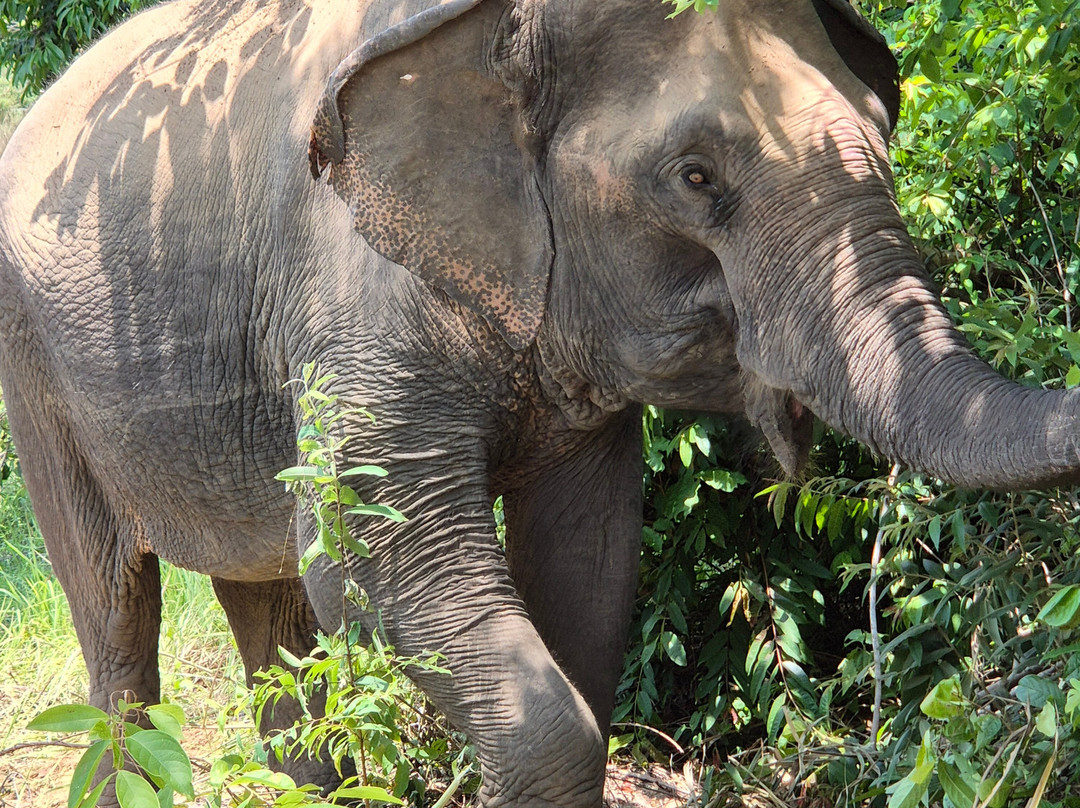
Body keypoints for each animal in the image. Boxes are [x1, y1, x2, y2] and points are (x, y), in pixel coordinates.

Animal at [1, 0, 1078, 804]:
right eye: (695, 176)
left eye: (886, 131)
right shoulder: (354, 292)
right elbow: (360, 548)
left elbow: (587, 562)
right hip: (35, 369)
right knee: (116, 614)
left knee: (265, 607)